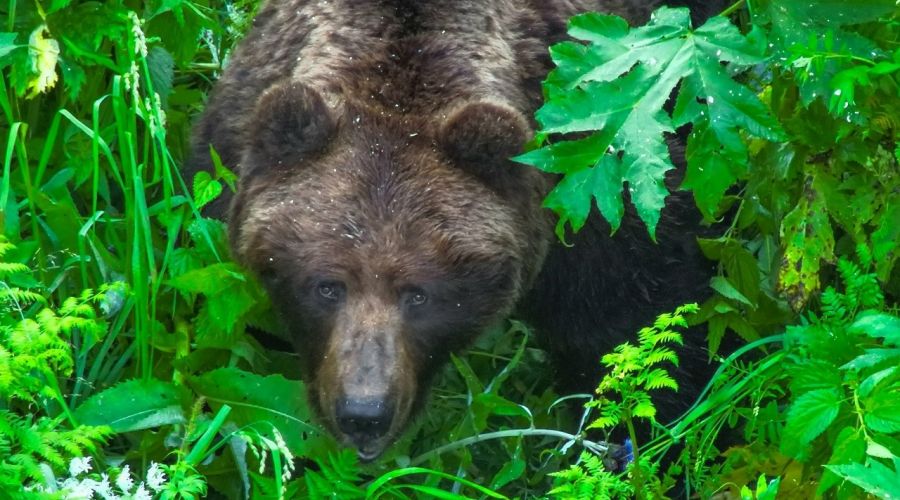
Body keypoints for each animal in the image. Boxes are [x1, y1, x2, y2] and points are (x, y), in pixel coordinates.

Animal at [190, 0, 725, 460]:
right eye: (326, 286)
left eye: (419, 294)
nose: (364, 413)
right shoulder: (235, 133)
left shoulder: (589, 181)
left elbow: (638, 322)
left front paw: (652, 439)